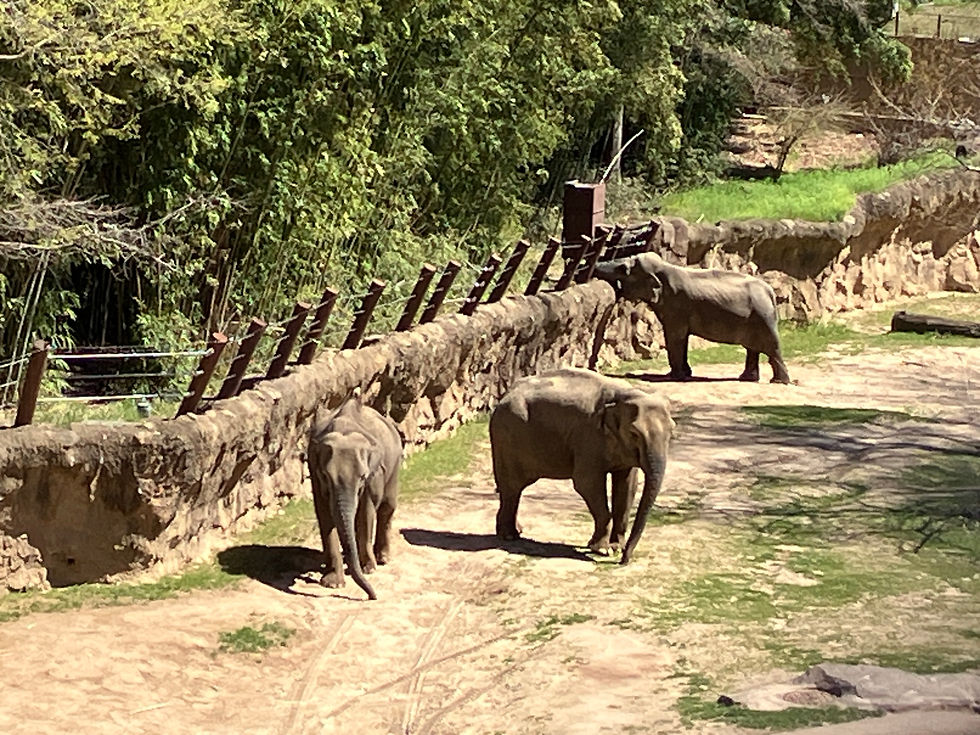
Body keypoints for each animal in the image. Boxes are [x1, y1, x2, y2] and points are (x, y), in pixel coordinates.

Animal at [307, 398, 402, 600]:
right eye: (326, 476)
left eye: (362, 477)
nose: (373, 597)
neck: (345, 430)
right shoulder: (314, 470)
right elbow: (323, 512)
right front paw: (333, 583)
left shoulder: (375, 474)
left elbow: (366, 511)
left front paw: (369, 569)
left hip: (395, 463)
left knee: (387, 507)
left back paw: (383, 558)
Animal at [490, 367, 674, 565]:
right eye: (634, 433)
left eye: (672, 430)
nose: (624, 560)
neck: (623, 394)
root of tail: (504, 396)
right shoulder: (588, 439)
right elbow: (586, 483)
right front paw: (602, 549)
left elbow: (627, 486)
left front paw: (615, 547)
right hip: (506, 439)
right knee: (512, 487)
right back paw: (509, 536)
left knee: (515, 489)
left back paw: (517, 532)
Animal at [593, 252, 791, 384]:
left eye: (623, 269)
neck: (664, 266)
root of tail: (770, 291)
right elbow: (682, 337)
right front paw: (685, 374)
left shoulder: (677, 306)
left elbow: (675, 336)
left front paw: (674, 377)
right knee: (752, 348)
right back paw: (747, 378)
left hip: (763, 317)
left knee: (772, 348)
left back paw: (778, 381)